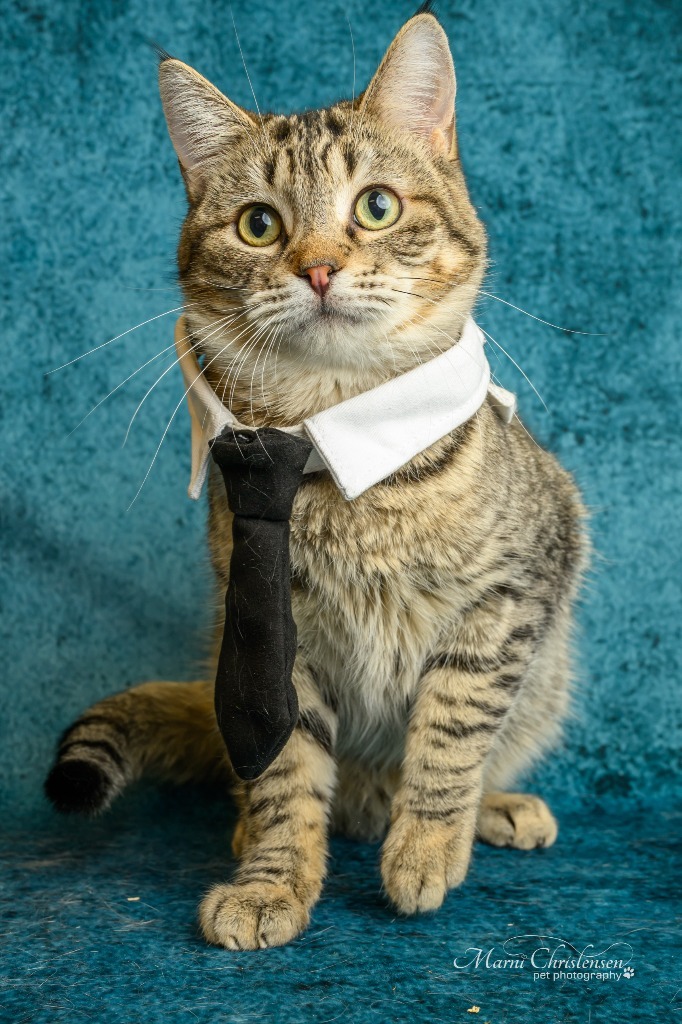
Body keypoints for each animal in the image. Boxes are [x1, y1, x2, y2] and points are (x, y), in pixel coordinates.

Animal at [43, 6, 585, 950]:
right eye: (259, 225)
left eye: (376, 207)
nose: (320, 266)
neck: (325, 434)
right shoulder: (273, 643)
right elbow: (287, 773)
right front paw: (274, 879)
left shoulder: (510, 596)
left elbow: (452, 729)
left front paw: (427, 844)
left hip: (547, 675)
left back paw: (488, 809)